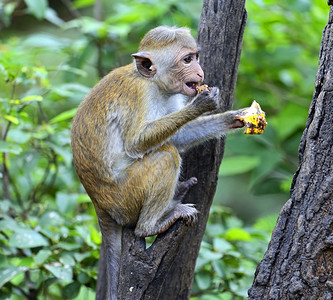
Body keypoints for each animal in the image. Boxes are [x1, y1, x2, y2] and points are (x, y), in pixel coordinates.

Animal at [70, 26, 244, 300]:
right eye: (187, 60)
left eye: (195, 56)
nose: (200, 72)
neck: (154, 83)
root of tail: (98, 203)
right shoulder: (138, 96)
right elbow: (136, 143)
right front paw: (202, 104)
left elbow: (179, 137)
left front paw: (234, 118)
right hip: (123, 198)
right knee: (165, 156)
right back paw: (150, 226)